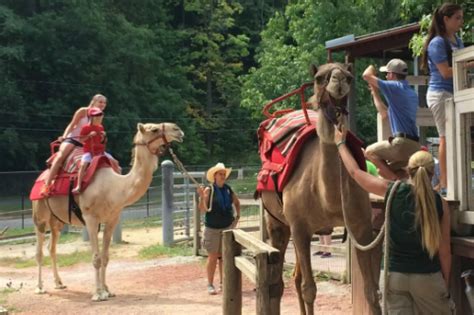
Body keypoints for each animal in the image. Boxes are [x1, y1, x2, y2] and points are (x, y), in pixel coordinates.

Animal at [31, 122, 183, 302]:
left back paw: (59, 283)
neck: (113, 187)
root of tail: (41, 177)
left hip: (57, 221)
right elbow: (96, 258)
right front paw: (98, 293)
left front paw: (107, 290)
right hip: (39, 214)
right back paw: (40, 287)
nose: (178, 130)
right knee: (39, 250)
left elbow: (105, 257)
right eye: (154, 129)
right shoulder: (90, 218)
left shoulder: (112, 219)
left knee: (52, 247)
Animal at [262, 63, 384, 315]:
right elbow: (310, 289)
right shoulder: (300, 227)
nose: (338, 81)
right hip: (278, 223)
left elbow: (371, 290)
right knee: (279, 282)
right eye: (319, 78)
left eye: (349, 77)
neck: (328, 198)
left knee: (295, 277)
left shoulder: (361, 227)